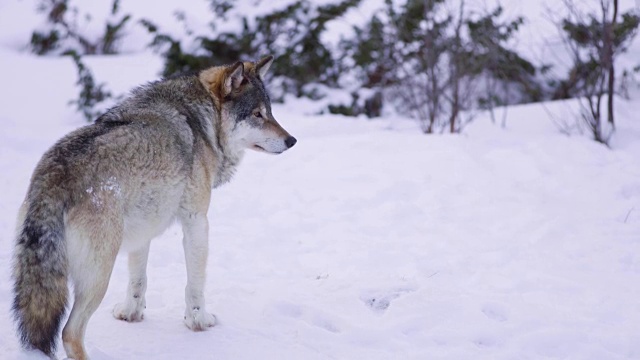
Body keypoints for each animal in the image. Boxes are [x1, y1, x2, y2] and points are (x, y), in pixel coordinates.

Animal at [11, 54, 298, 358]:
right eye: (257, 115)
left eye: (270, 112)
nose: (292, 140)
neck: (203, 124)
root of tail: (54, 177)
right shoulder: (197, 220)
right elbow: (195, 283)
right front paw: (199, 321)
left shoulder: (143, 228)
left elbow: (138, 279)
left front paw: (131, 314)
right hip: (99, 275)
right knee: (70, 333)